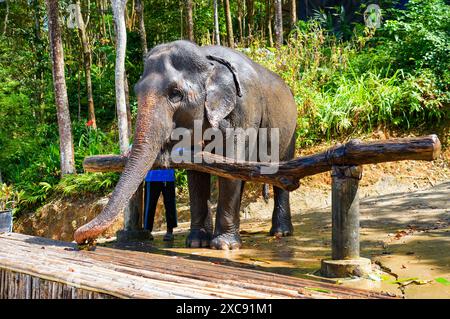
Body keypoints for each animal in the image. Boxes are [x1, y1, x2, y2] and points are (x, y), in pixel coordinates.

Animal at [74, 39, 298, 250]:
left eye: (175, 94)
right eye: (136, 91)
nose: (82, 239)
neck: (208, 58)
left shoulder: (244, 109)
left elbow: (230, 161)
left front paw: (224, 246)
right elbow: (197, 172)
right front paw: (197, 243)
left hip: (290, 130)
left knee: (280, 174)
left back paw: (281, 232)